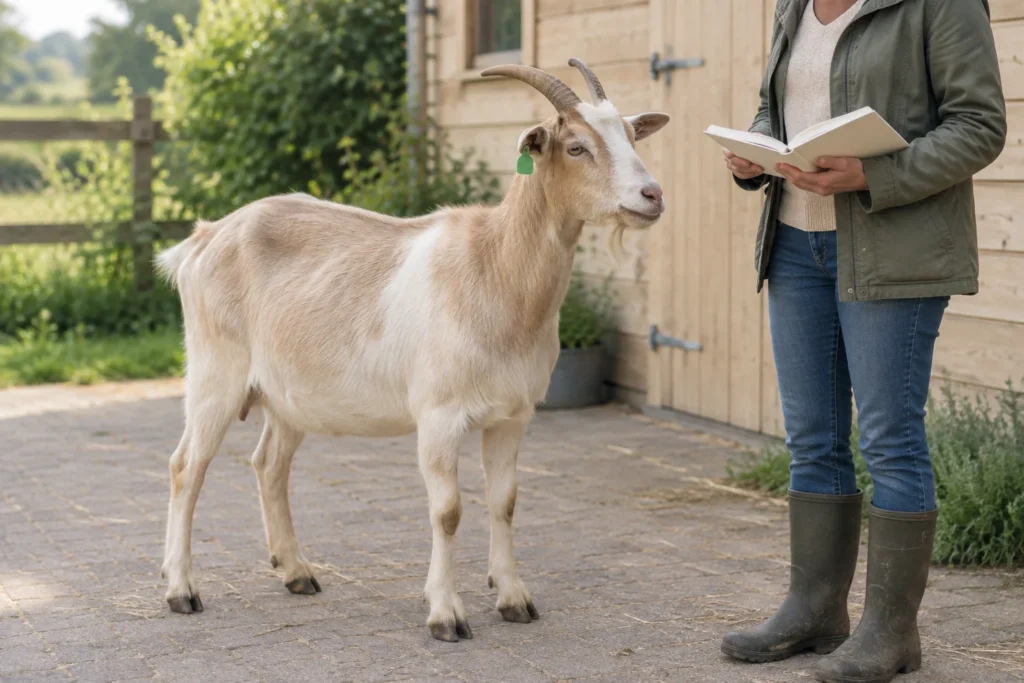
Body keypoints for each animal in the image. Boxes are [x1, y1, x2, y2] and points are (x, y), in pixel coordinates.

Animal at [155, 58, 670, 641]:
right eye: (577, 146)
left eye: (630, 135)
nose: (652, 195)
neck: (494, 267)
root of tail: (204, 238)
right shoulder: (439, 414)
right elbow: (448, 511)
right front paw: (446, 614)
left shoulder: (513, 416)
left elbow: (505, 502)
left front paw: (514, 598)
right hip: (214, 373)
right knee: (186, 466)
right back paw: (182, 590)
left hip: (287, 395)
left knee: (269, 465)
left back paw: (296, 572)